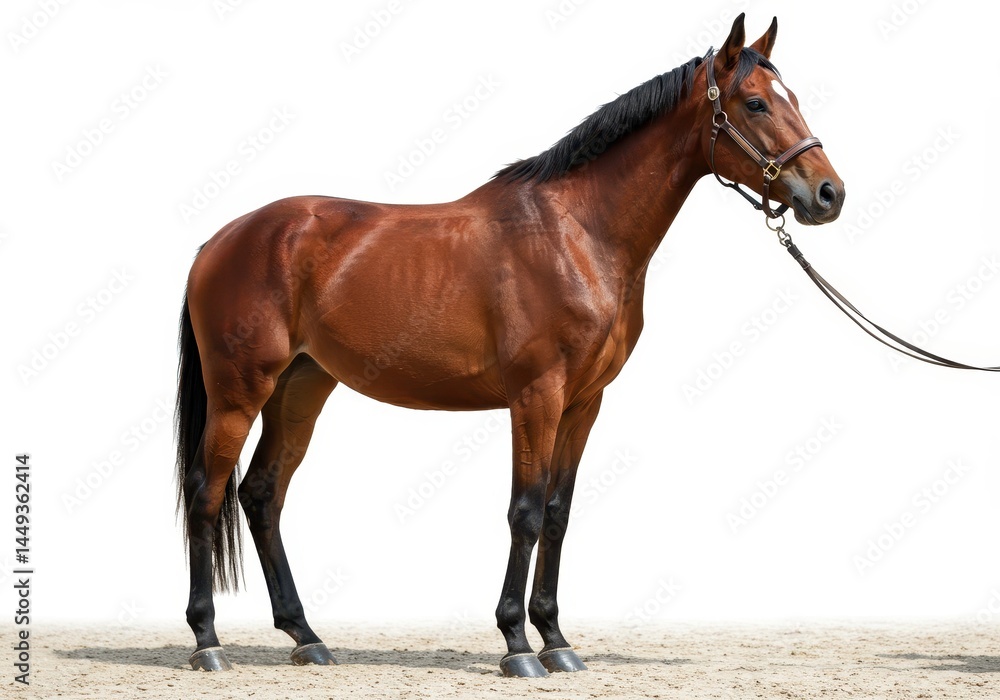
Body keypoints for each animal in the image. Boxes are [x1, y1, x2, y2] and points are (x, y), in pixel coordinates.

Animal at [175, 13, 844, 678]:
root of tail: (221, 240)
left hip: (302, 385)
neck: (577, 233)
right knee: (207, 494)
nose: (828, 194)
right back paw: (208, 641)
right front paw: (518, 645)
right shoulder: (536, 396)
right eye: (755, 102)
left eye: (792, 96)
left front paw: (556, 639)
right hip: (239, 391)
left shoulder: (583, 403)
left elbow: (557, 513)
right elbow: (524, 511)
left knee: (262, 495)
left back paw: (306, 636)